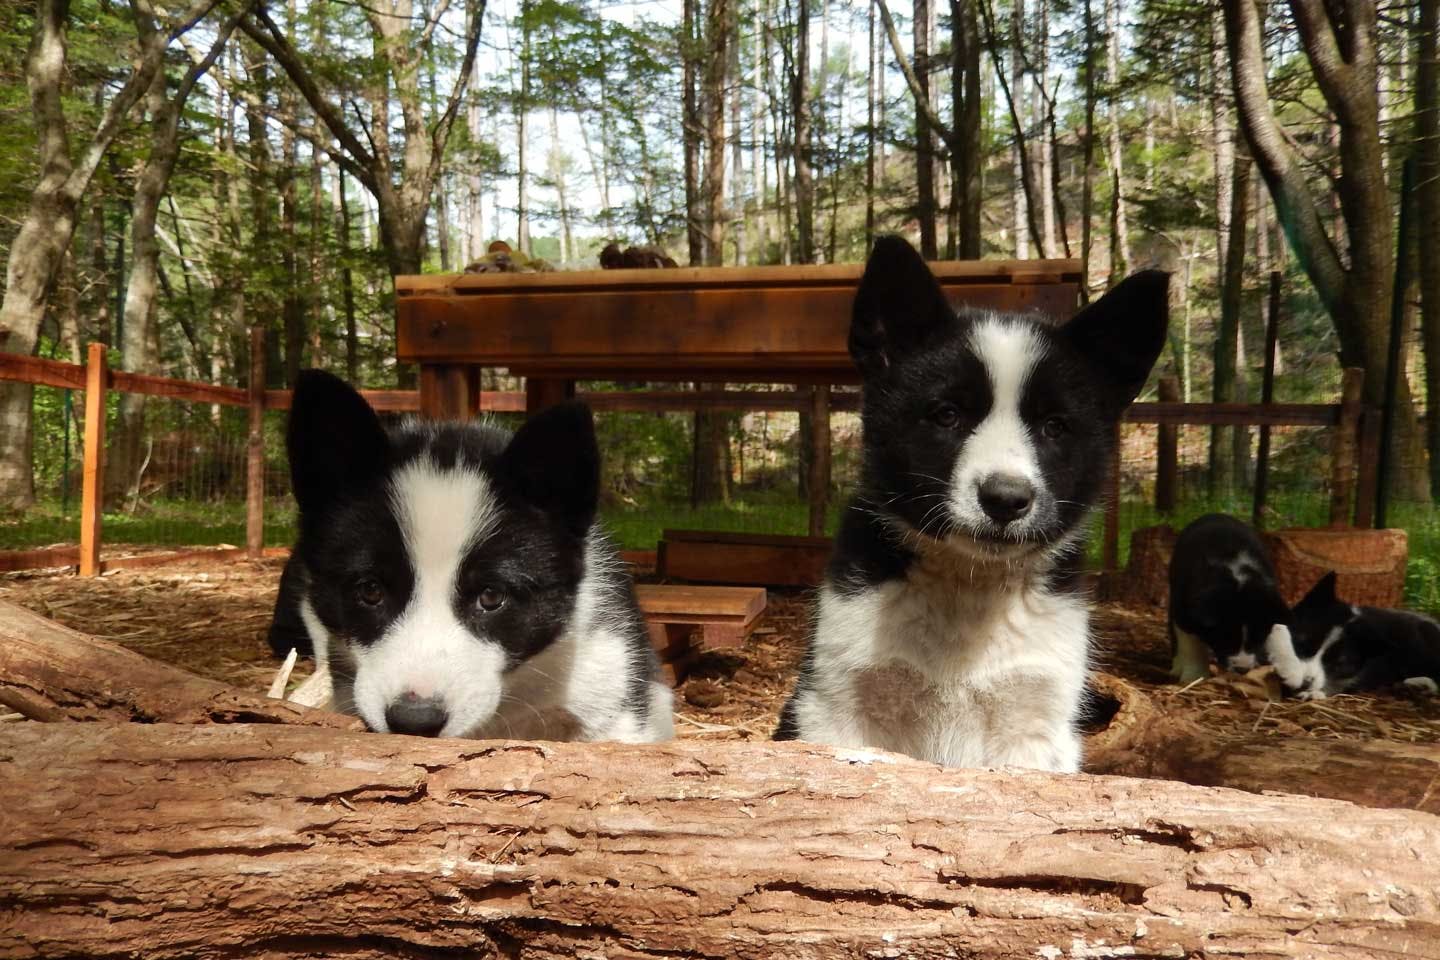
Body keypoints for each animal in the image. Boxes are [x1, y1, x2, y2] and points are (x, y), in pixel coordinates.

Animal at [777, 236, 1169, 771]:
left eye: (1055, 426)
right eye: (947, 415)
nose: (1006, 500)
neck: (968, 586)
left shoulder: (1037, 721)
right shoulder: (835, 703)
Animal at [1163, 509, 1290, 682]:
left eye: (1258, 638)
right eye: (1226, 637)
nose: (1242, 669)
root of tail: (1215, 514)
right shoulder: (1185, 610)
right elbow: (1191, 644)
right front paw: (1194, 676)